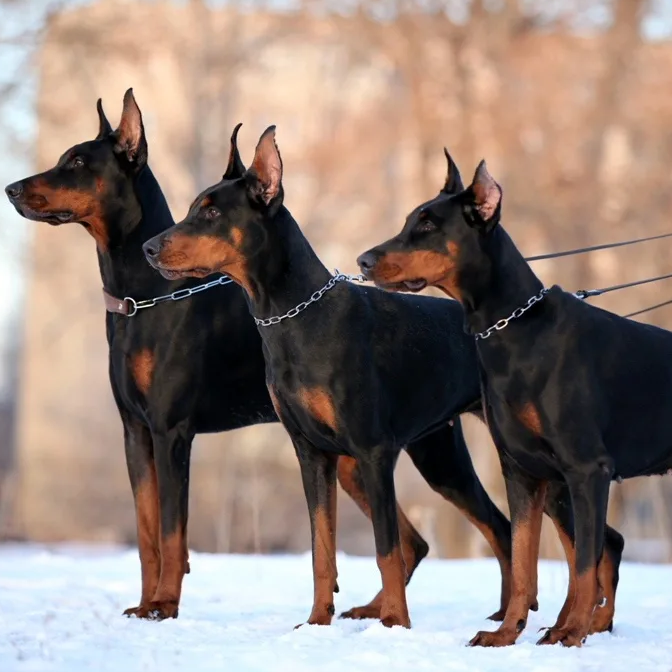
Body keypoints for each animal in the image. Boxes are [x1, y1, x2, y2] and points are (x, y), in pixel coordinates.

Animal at [3, 94, 510, 624]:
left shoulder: (171, 430)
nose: (11, 189)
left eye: (78, 163)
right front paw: (145, 605)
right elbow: (147, 532)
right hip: (378, 457)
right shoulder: (135, 431)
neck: (142, 298)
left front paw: (164, 604)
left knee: (491, 527)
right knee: (418, 542)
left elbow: (171, 530)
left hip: (431, 453)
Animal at [139, 124, 608, 632]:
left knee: (592, 542)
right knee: (508, 531)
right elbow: (321, 549)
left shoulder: (373, 451)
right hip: (443, 457)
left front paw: (396, 625)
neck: (293, 318)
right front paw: (317, 622)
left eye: (211, 212)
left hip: (525, 463)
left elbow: (385, 550)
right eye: (193, 207)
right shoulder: (312, 453)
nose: (148, 248)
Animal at [356, 152, 652, 644]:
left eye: (428, 224)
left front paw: (570, 636)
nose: (363, 260)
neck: (514, 327)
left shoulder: (589, 469)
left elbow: (582, 565)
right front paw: (507, 635)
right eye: (408, 221)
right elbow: (524, 560)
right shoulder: (521, 470)